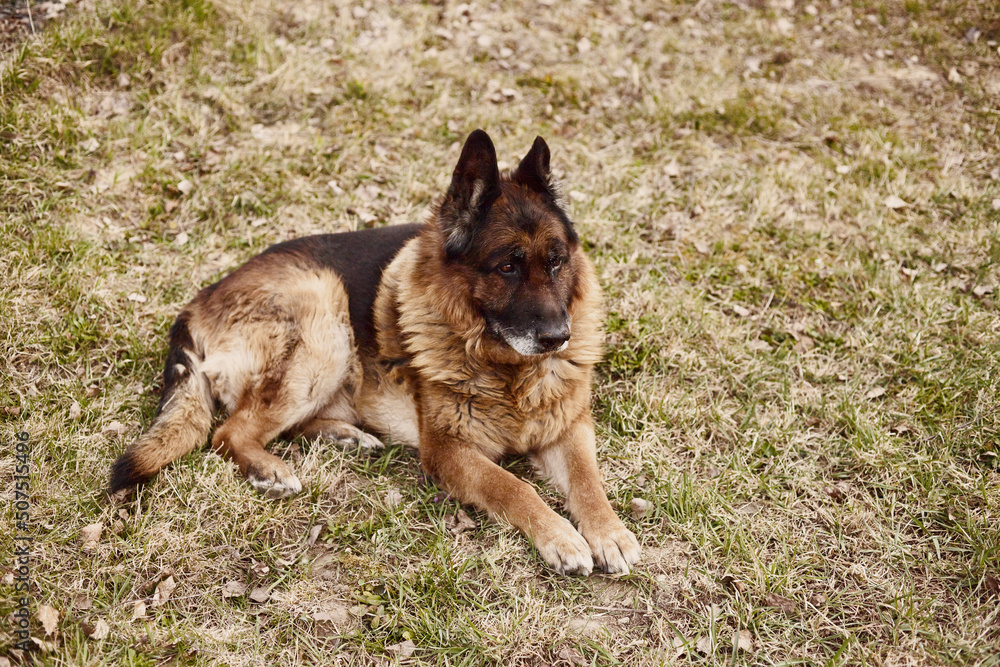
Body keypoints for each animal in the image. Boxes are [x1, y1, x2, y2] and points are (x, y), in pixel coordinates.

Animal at [109, 130, 640, 576]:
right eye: (507, 267)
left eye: (556, 262)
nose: (558, 337)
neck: (506, 368)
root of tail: (196, 304)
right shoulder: (448, 451)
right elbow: (513, 486)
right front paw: (560, 535)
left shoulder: (569, 425)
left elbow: (588, 479)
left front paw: (609, 531)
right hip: (324, 315)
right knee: (228, 432)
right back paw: (269, 467)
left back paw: (344, 436)